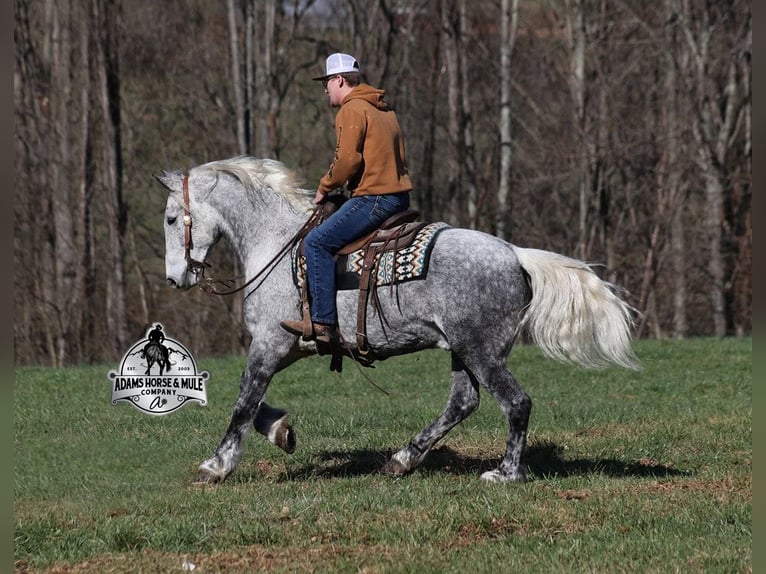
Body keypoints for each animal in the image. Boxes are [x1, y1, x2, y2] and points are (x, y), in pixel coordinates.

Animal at [155, 155, 639, 484]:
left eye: (172, 218)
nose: (175, 277)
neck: (278, 243)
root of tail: (515, 254)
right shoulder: (290, 346)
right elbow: (253, 401)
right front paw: (281, 432)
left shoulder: (270, 343)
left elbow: (243, 400)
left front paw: (216, 464)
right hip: (463, 351)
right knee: (463, 402)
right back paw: (404, 459)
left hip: (482, 352)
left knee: (515, 402)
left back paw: (505, 473)